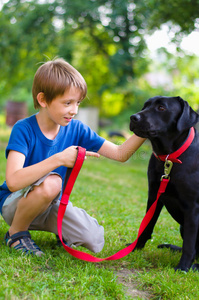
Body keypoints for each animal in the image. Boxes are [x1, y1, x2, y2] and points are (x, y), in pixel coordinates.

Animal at [130, 96, 199, 272]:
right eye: (145, 106)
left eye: (161, 108)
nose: (133, 117)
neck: (169, 158)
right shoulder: (154, 195)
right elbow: (147, 226)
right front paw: (135, 249)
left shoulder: (193, 207)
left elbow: (189, 244)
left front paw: (182, 268)